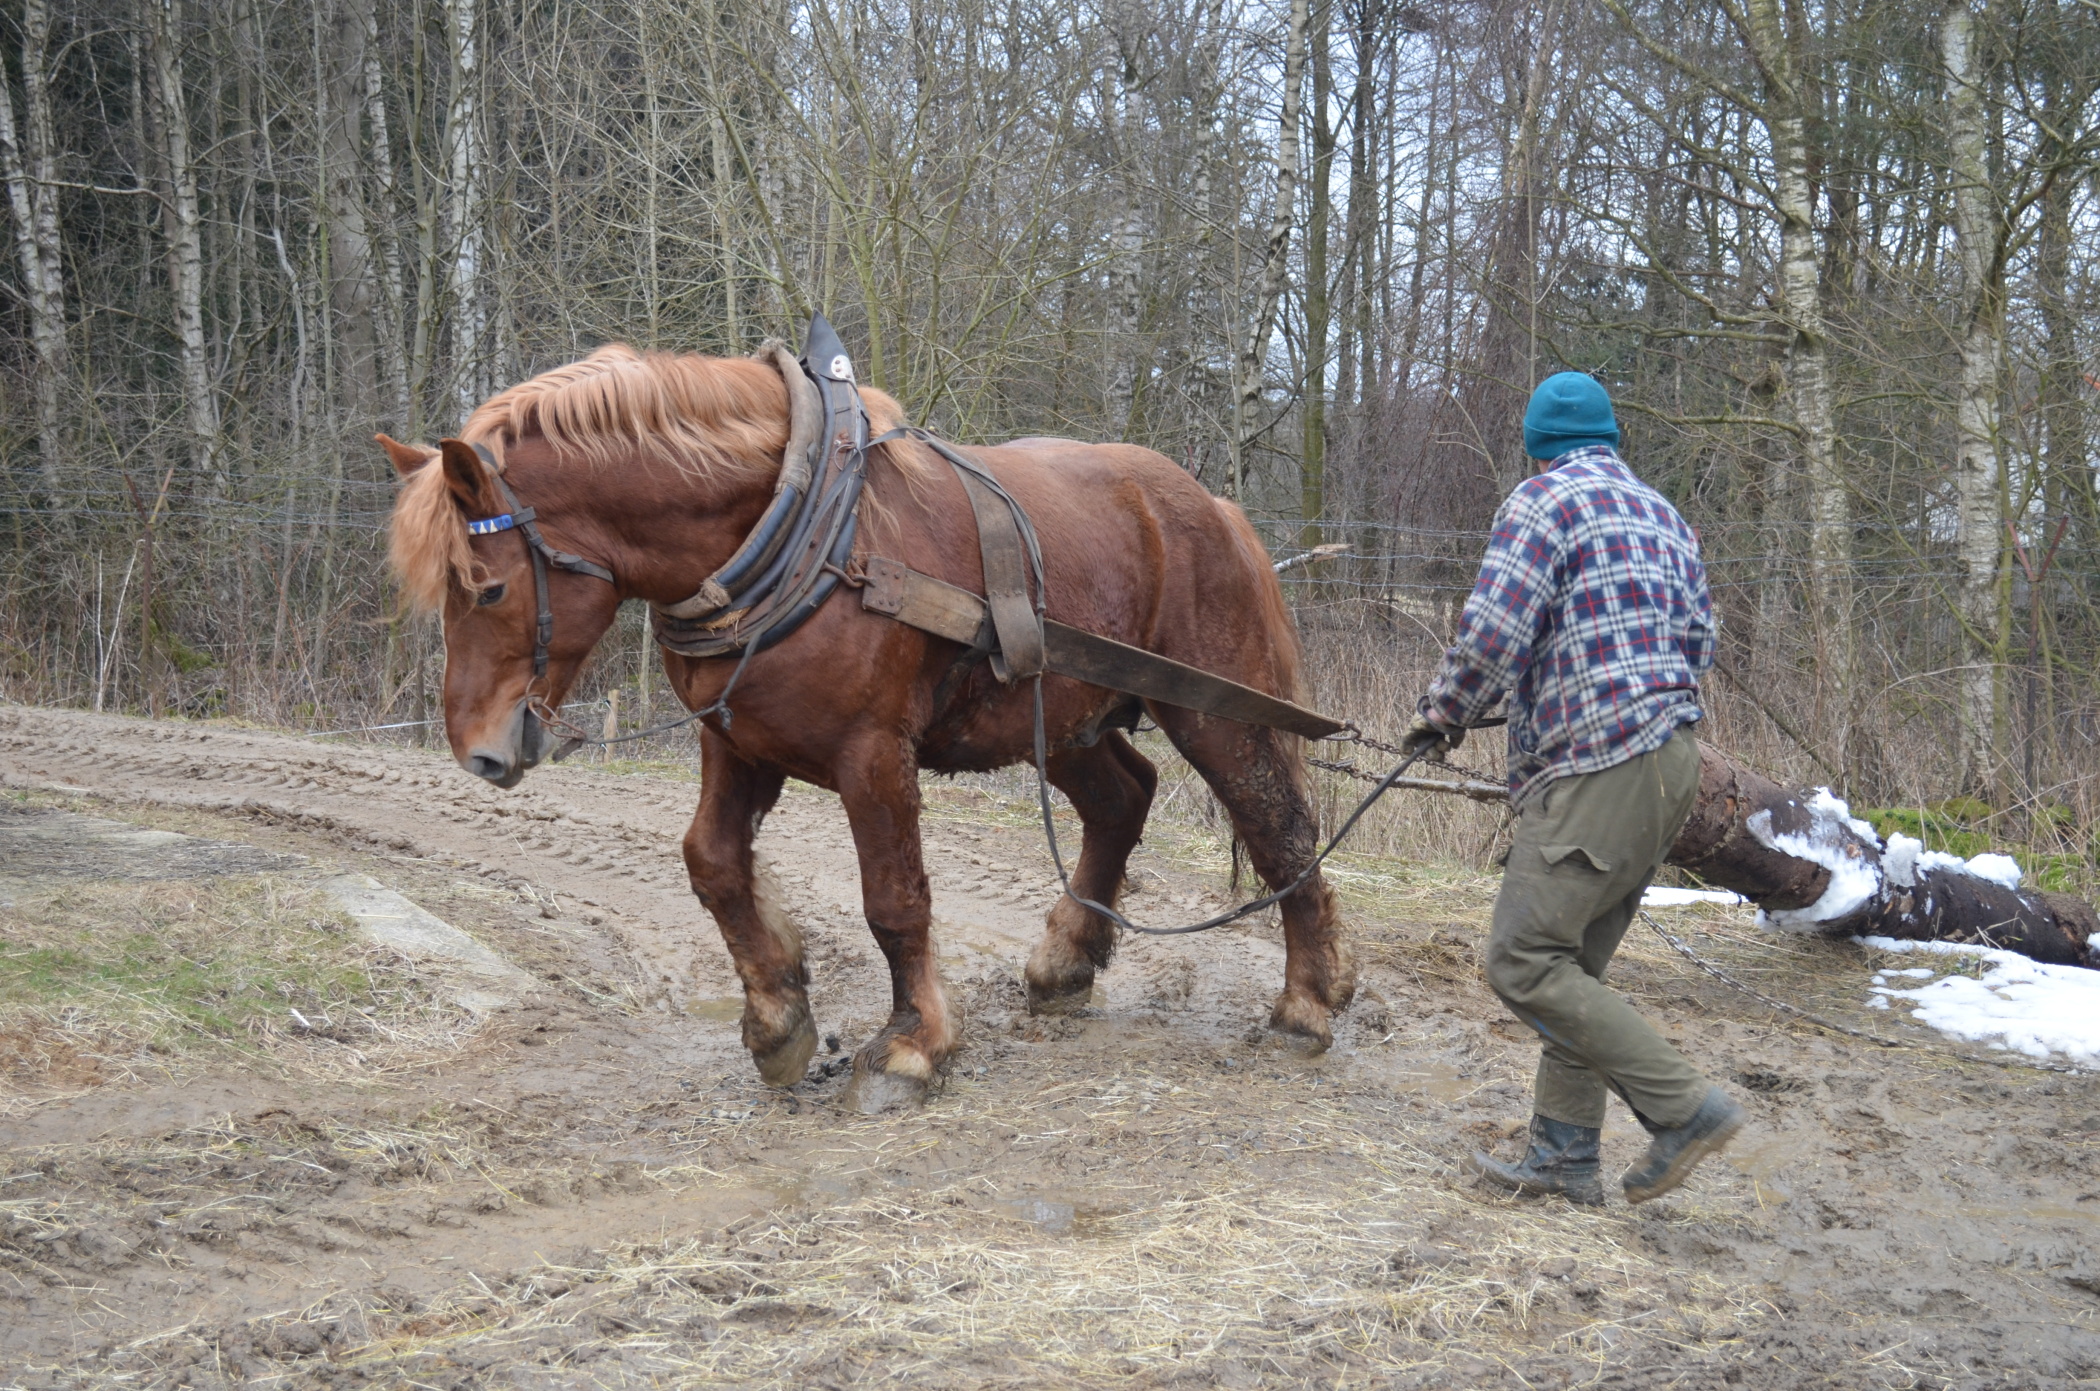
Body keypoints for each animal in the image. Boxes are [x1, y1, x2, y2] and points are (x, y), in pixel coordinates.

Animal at [380, 341, 1354, 1112]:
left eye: (487, 587)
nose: (479, 753)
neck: (806, 533)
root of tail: (1213, 508)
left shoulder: (873, 751)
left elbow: (893, 899)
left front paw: (913, 1046)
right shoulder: (733, 739)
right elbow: (712, 863)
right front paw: (778, 1017)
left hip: (1212, 710)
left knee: (1280, 828)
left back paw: (1307, 1004)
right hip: (1058, 715)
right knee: (1123, 798)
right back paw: (1066, 964)